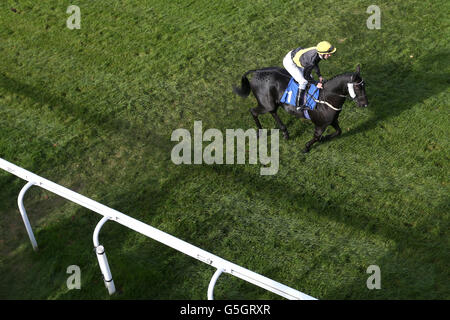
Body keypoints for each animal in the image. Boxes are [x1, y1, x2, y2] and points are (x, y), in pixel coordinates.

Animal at [234, 65, 368, 152]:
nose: (365, 104)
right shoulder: (320, 124)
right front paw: (307, 147)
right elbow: (316, 136)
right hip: (266, 104)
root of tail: (257, 71)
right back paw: (260, 132)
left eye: (364, 85)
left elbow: (338, 132)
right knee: (254, 111)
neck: (326, 98)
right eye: (357, 87)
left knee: (273, 112)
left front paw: (324, 139)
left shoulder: (332, 121)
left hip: (272, 103)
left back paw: (285, 132)